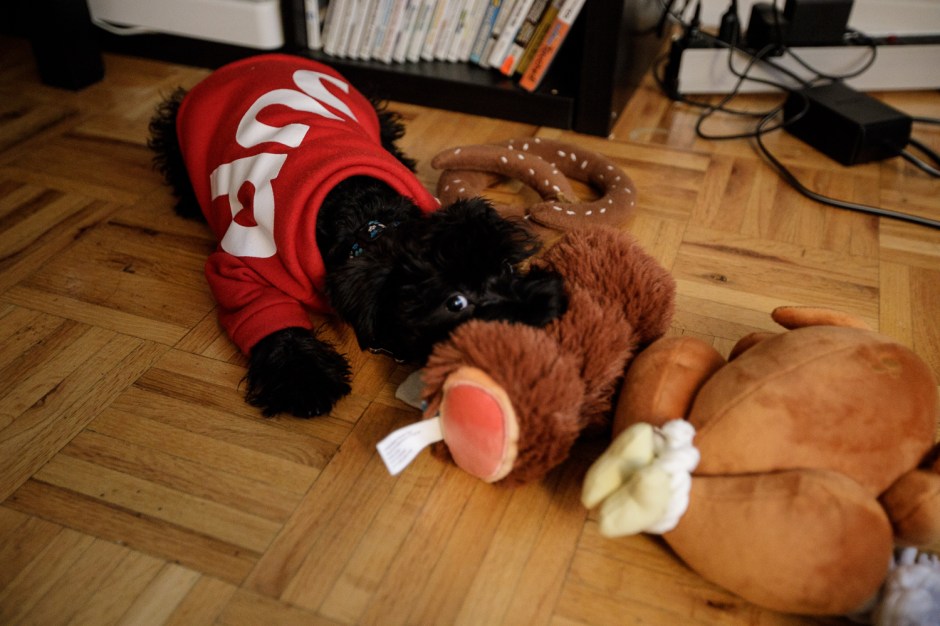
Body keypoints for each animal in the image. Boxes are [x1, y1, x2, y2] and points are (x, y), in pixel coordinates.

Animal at [148, 54, 567, 418]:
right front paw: (304, 380)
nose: (541, 313)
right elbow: (274, 323)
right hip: (176, 133)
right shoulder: (243, 264)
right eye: (456, 303)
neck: (369, 223)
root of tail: (245, 63)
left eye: (506, 268)